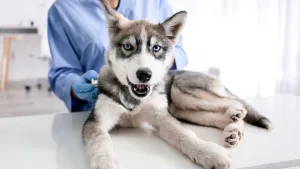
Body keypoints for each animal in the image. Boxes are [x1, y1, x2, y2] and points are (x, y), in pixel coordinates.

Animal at [82, 0, 272, 168]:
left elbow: (184, 133)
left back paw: (236, 113)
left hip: (180, 92)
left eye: (156, 48)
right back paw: (233, 130)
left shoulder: (161, 116)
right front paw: (105, 163)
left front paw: (209, 152)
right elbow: (100, 143)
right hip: (183, 111)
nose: (144, 74)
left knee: (231, 101)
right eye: (128, 47)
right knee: (215, 116)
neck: (133, 100)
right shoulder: (97, 120)